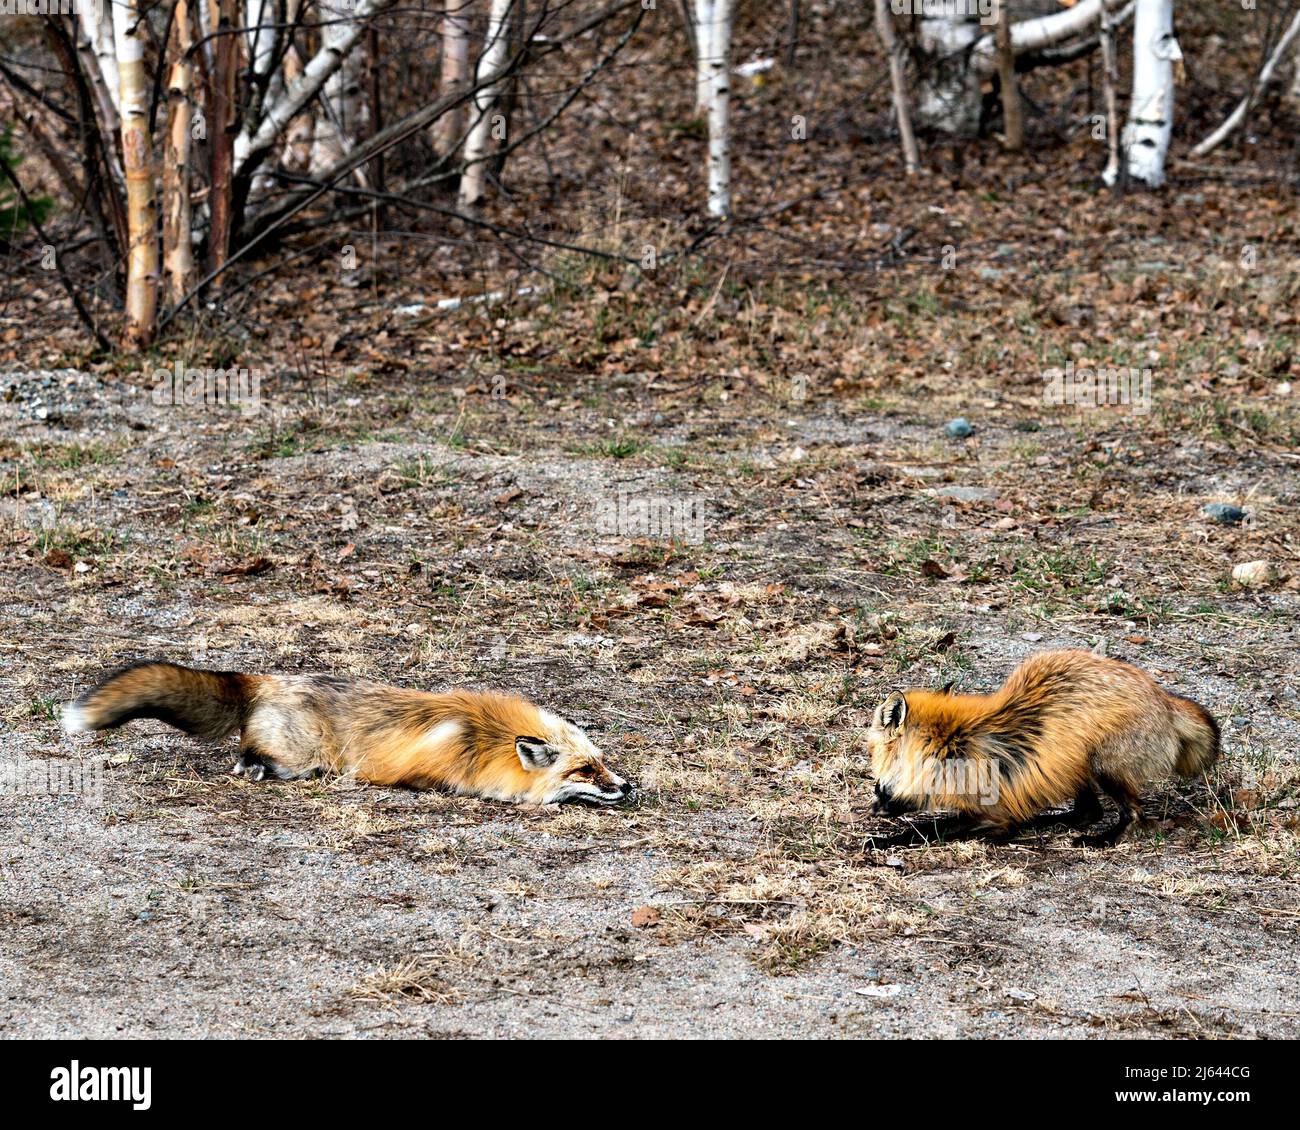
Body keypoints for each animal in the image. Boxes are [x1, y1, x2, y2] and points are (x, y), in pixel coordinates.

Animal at [65, 657, 634, 806]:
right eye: (585, 770)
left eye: (603, 762)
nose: (628, 787)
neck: (485, 739)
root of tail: (265, 679)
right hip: (299, 759)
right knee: (251, 751)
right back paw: (251, 767)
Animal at [868, 647, 1222, 842]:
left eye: (872, 749)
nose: (875, 800)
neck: (951, 745)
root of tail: (1164, 698)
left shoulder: (990, 812)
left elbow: (927, 830)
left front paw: (881, 841)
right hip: (1076, 764)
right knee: (1087, 813)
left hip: (1102, 764)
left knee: (1131, 814)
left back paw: (1100, 841)